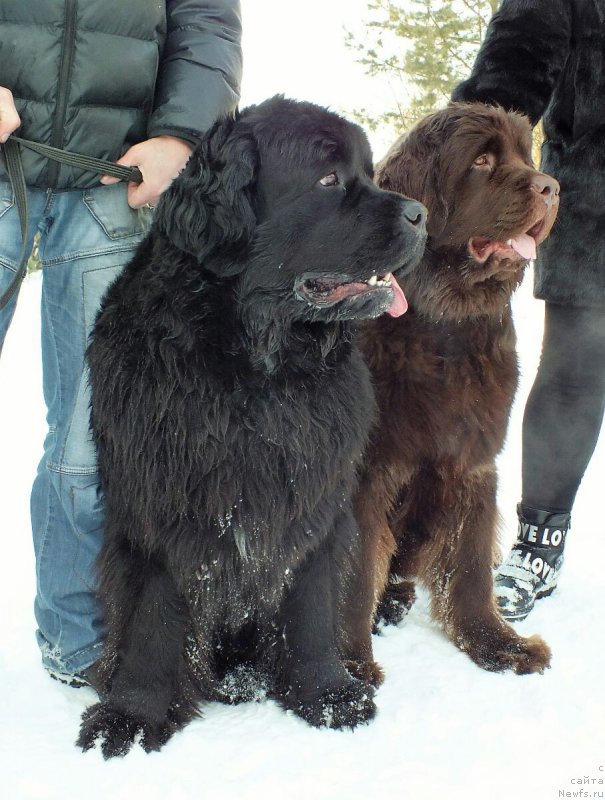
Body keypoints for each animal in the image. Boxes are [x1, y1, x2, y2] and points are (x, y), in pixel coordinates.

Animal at [78, 95, 424, 756]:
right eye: (328, 179)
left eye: (368, 174)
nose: (422, 213)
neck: (258, 373)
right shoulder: (162, 505)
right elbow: (152, 617)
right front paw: (131, 715)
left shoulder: (313, 503)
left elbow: (311, 607)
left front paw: (328, 695)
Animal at [342, 98, 560, 676]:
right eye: (481, 161)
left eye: (525, 155)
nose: (552, 186)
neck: (445, 327)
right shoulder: (365, 473)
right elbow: (353, 575)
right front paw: (347, 667)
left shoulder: (473, 462)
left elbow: (470, 565)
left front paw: (496, 644)